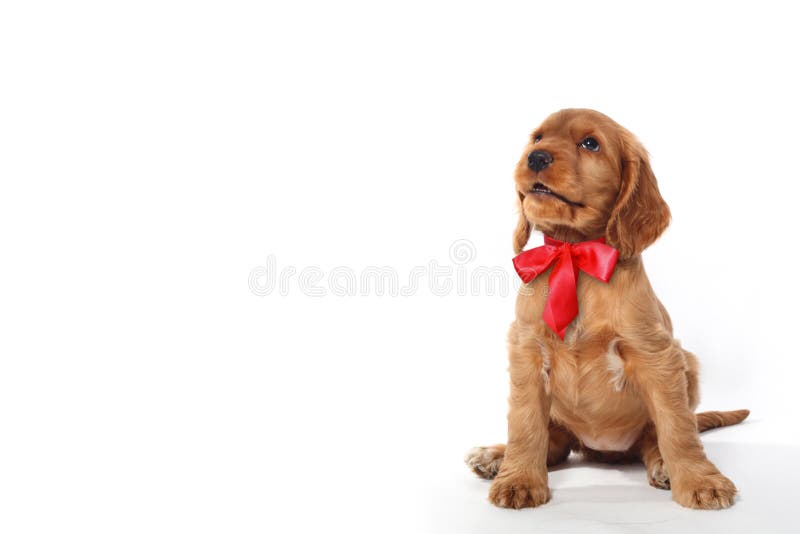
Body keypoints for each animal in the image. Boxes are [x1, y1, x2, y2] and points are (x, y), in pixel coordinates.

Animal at [468, 108, 752, 510]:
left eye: (590, 143)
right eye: (537, 138)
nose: (535, 158)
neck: (574, 252)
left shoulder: (657, 355)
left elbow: (677, 427)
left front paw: (699, 481)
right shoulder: (526, 351)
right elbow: (525, 423)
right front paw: (518, 479)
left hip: (688, 362)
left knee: (655, 438)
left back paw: (664, 466)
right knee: (555, 441)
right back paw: (495, 455)